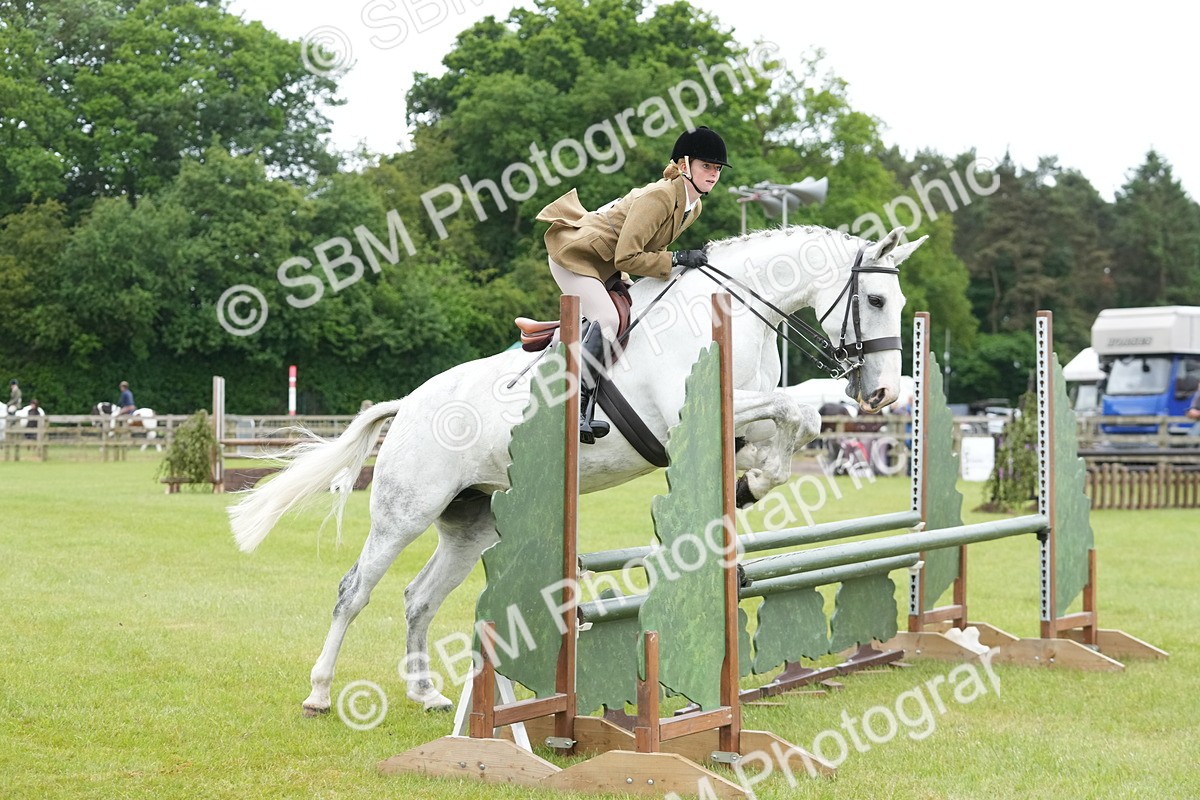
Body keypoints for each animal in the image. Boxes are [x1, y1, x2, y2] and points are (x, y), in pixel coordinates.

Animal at [227, 224, 926, 715]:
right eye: (875, 297)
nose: (884, 394)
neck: (731, 309)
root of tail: (407, 404)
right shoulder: (690, 413)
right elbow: (795, 407)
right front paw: (753, 478)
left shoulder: (739, 418)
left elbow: (793, 424)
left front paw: (751, 482)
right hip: (406, 511)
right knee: (355, 590)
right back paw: (320, 693)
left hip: (470, 523)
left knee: (419, 597)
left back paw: (425, 694)